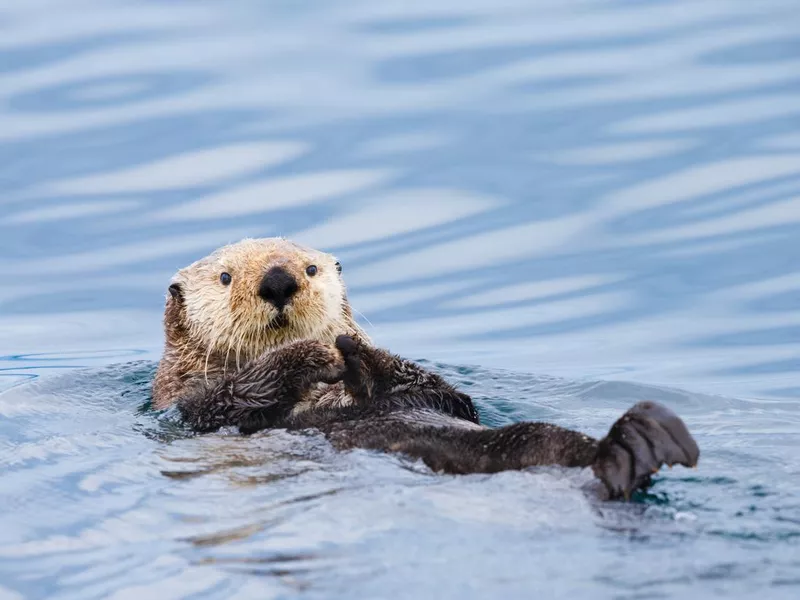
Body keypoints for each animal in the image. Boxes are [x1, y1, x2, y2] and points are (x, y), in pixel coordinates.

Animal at [153, 237, 696, 500]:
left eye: (311, 268)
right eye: (226, 278)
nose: (279, 279)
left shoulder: (444, 397)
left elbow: (445, 394)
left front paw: (354, 352)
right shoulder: (191, 407)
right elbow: (235, 396)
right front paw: (315, 355)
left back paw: (643, 440)